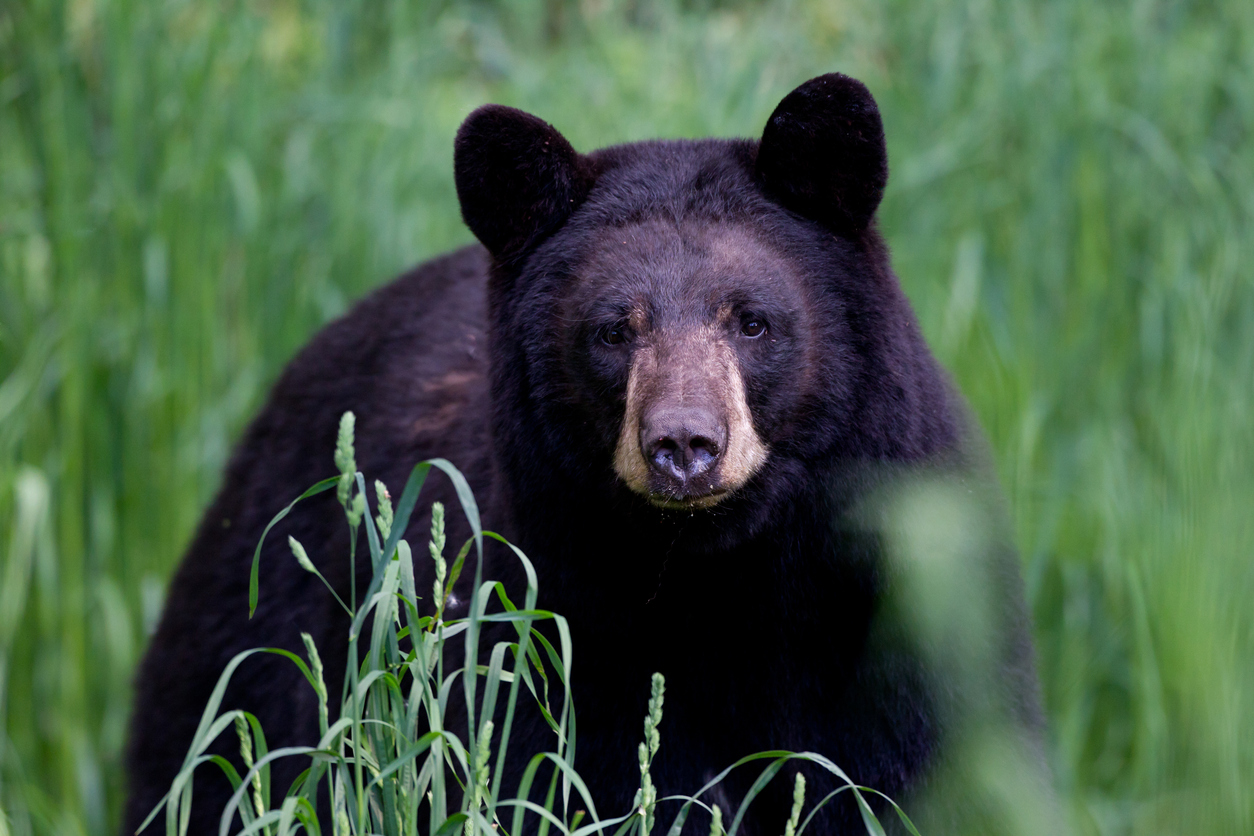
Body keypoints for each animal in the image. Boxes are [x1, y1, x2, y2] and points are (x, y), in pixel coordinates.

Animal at [124, 73, 1048, 836]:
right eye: (612, 330)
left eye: (751, 319)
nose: (684, 445)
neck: (724, 585)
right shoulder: (554, 633)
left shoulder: (908, 633)